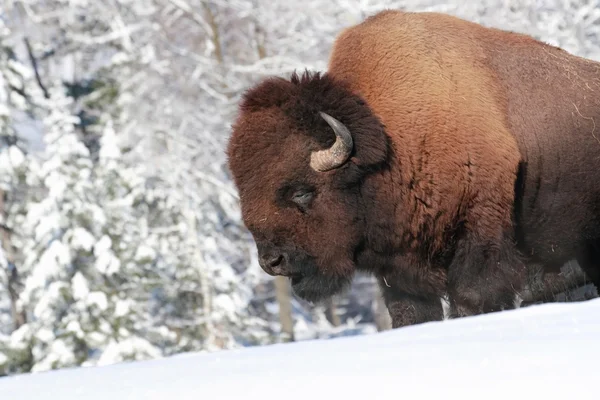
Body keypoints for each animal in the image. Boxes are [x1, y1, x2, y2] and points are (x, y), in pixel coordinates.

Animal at [227, 10, 600, 328]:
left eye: (302, 192)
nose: (271, 262)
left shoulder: (480, 231)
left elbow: (473, 297)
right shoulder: (399, 270)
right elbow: (410, 312)